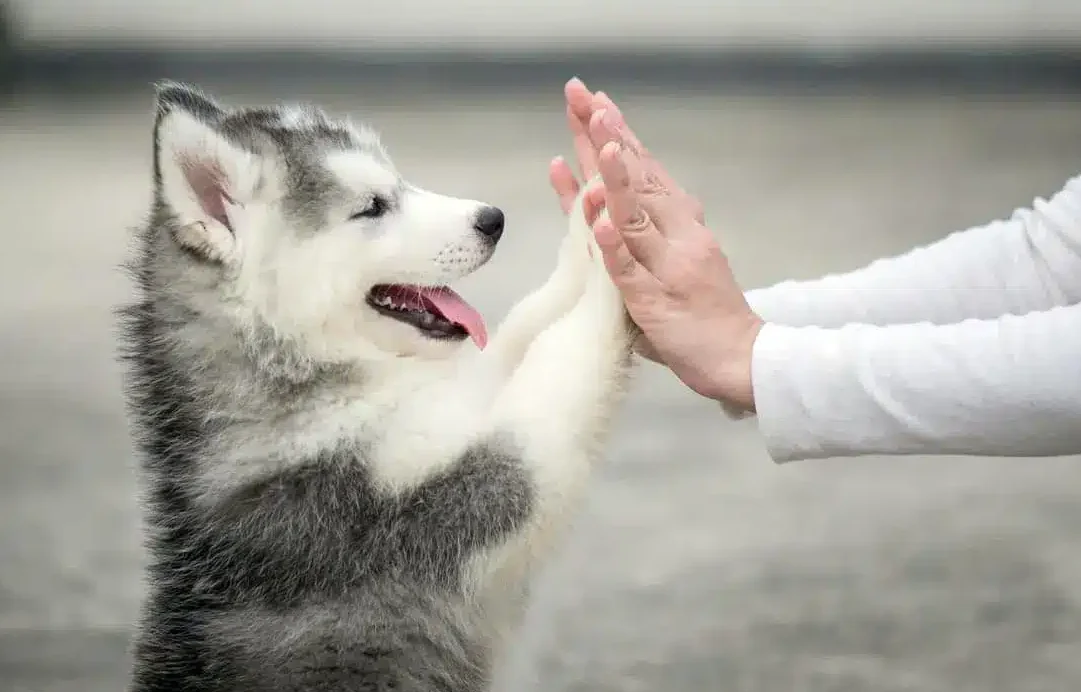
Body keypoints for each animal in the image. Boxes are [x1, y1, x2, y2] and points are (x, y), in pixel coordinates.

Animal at [119, 83, 635, 687]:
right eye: (372, 206)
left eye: (399, 182)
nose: (493, 219)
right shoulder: (438, 500)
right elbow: (562, 358)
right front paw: (617, 257)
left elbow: (522, 326)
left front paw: (590, 221)